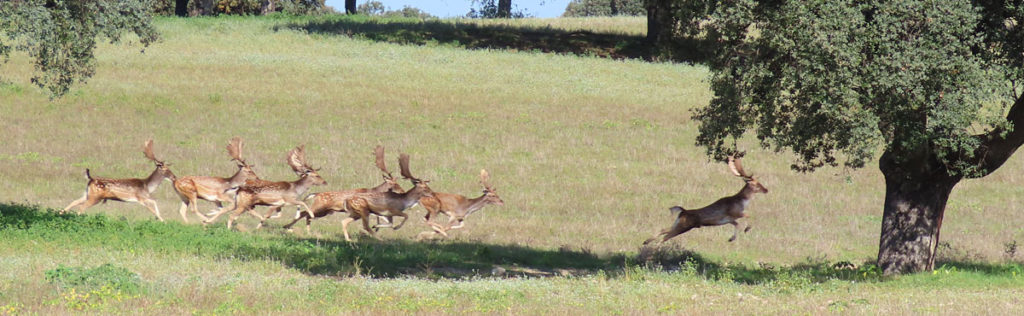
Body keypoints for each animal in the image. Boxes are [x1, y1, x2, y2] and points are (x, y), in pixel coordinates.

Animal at [638, 156, 770, 244]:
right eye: (757, 184)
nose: (766, 189)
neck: (742, 202)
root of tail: (682, 211)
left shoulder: (729, 220)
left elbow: (737, 224)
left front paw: (731, 238)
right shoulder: (734, 213)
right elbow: (748, 216)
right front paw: (747, 229)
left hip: (678, 223)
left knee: (664, 230)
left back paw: (646, 242)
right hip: (684, 226)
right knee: (666, 237)